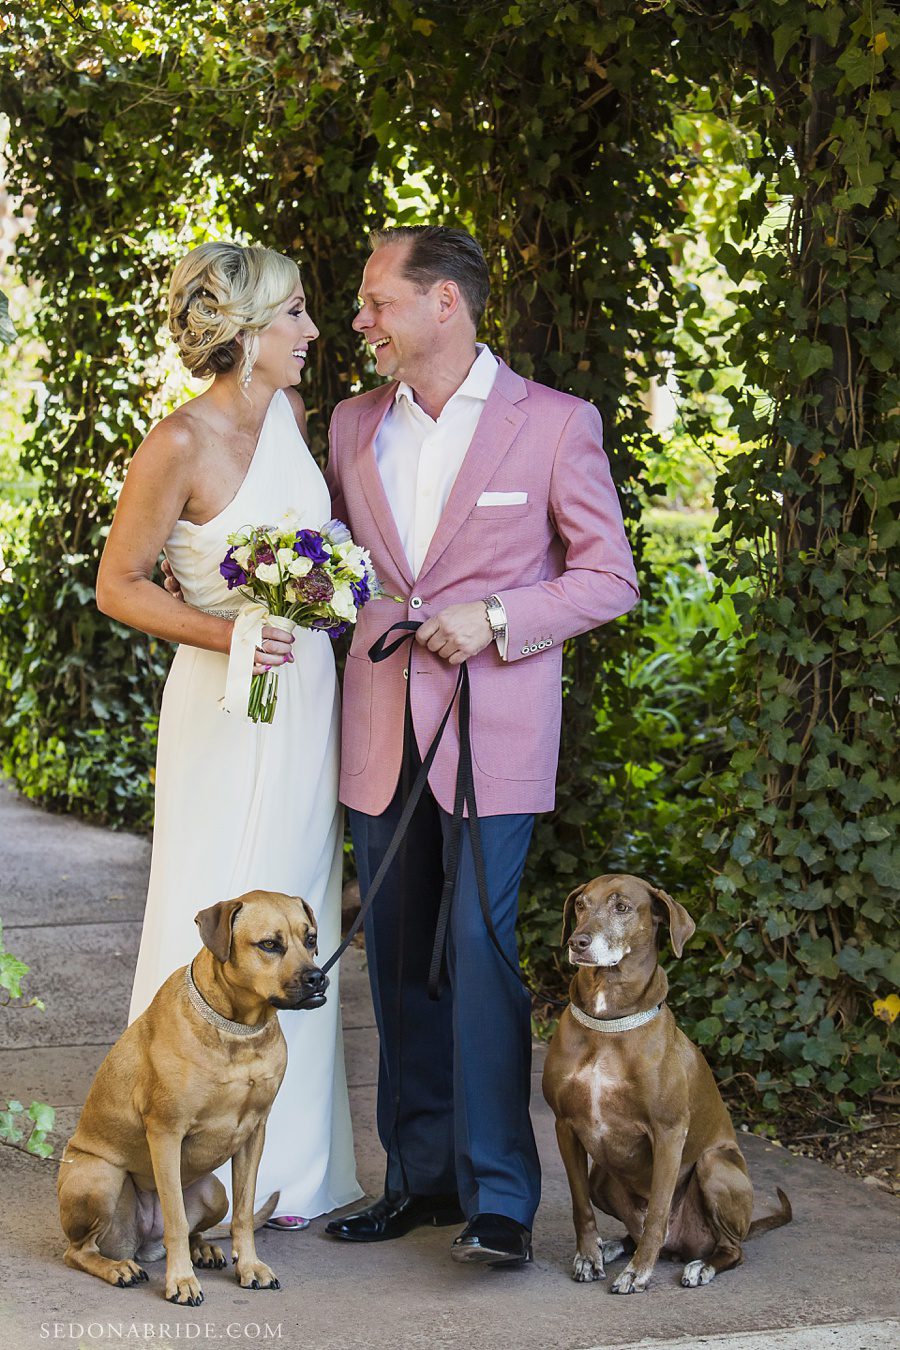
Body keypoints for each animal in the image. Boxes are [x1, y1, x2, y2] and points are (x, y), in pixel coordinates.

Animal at [58, 891, 329, 1301]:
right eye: (269, 944)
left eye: (310, 938)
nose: (317, 977)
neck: (238, 1029)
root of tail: (144, 1243)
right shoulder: (166, 1133)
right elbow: (175, 1217)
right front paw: (181, 1281)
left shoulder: (255, 1133)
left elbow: (244, 1214)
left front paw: (249, 1267)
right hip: (99, 1178)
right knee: (80, 1251)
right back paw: (117, 1267)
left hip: (214, 1191)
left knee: (197, 1227)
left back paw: (204, 1248)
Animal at [542, 880, 788, 1290]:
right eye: (580, 905)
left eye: (622, 907)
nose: (578, 942)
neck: (608, 1024)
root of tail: (682, 1246)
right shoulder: (565, 1125)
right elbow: (580, 1204)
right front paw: (589, 1256)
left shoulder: (669, 1132)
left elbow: (657, 1212)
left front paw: (638, 1272)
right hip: (601, 1178)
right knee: (634, 1227)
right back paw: (615, 1246)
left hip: (714, 1166)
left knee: (729, 1248)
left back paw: (701, 1265)